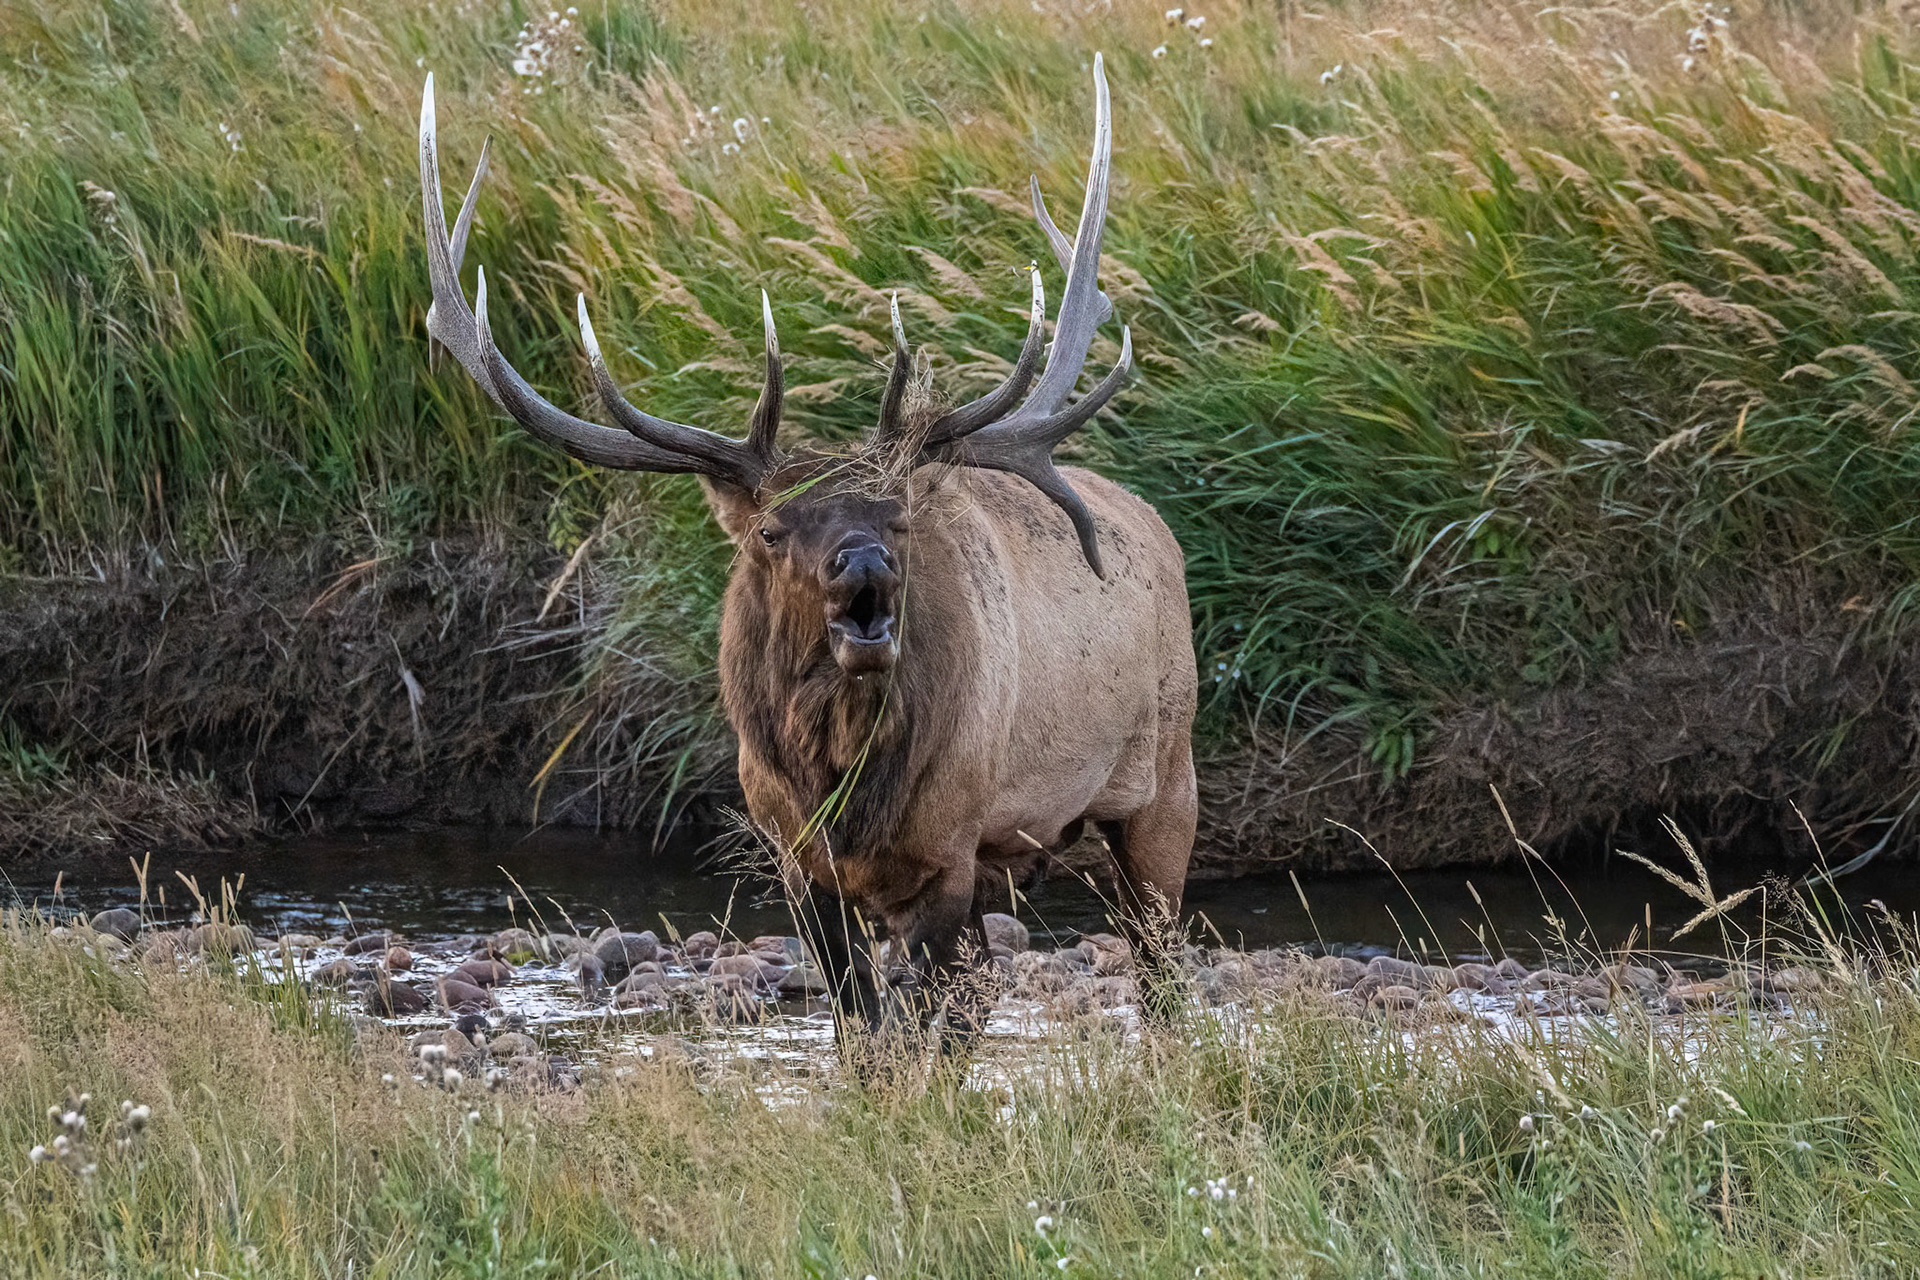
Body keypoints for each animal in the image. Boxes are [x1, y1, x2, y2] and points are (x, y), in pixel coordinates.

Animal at [416, 55, 1196, 1055]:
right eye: (770, 529)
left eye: (899, 518)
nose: (865, 567)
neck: (845, 788)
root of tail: (1156, 527)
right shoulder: (799, 861)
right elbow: (863, 1028)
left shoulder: (949, 849)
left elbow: (931, 1025)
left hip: (1165, 779)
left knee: (1158, 966)